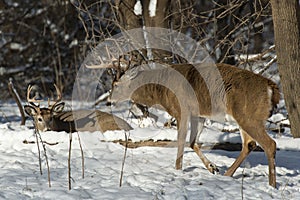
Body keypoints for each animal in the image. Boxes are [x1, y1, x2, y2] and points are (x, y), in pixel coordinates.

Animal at [88, 61, 280, 188]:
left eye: (115, 84)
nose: (108, 101)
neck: (161, 91)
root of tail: (271, 87)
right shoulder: (199, 115)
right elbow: (193, 142)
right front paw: (212, 167)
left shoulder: (182, 110)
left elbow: (181, 141)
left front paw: (177, 170)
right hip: (243, 118)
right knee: (249, 144)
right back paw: (226, 175)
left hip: (249, 116)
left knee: (270, 144)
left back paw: (271, 185)